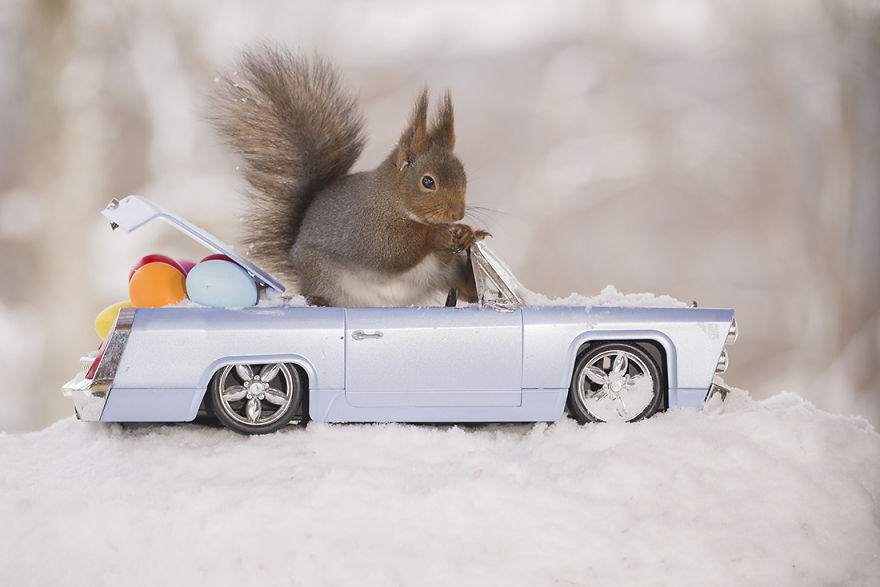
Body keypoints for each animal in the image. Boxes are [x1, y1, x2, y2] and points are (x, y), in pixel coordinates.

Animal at [211, 46, 489, 307]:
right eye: (428, 182)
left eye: (463, 175)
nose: (457, 214)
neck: (392, 199)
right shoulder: (366, 227)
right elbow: (391, 252)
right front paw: (437, 235)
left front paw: (465, 231)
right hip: (323, 274)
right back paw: (319, 300)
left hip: (444, 273)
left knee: (465, 290)